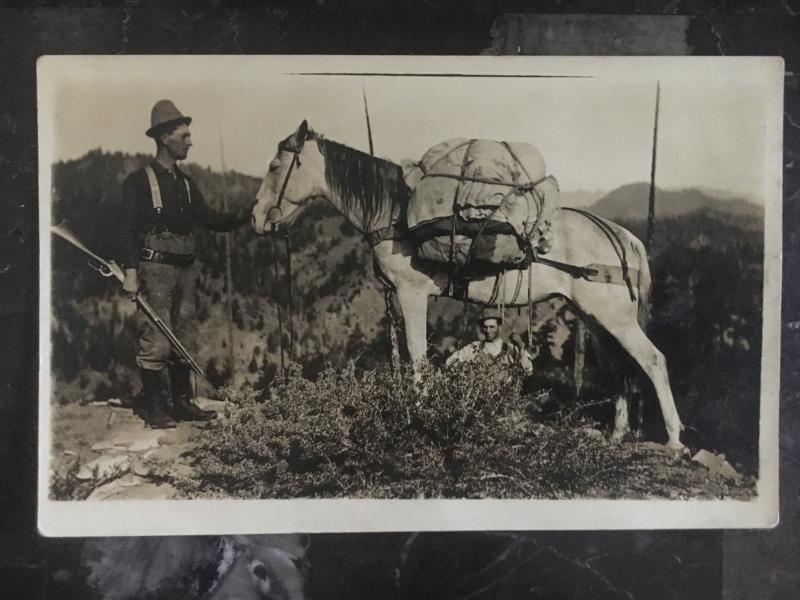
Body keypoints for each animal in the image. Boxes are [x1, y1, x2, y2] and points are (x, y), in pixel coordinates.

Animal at [253, 122, 684, 448]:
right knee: (621, 366)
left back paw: (675, 439)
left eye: (275, 166)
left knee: (653, 360)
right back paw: (617, 433)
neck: (395, 217)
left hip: (614, 317)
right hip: (596, 318)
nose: (256, 218)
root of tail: (621, 236)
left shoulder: (412, 295)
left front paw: (419, 415)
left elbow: (417, 358)